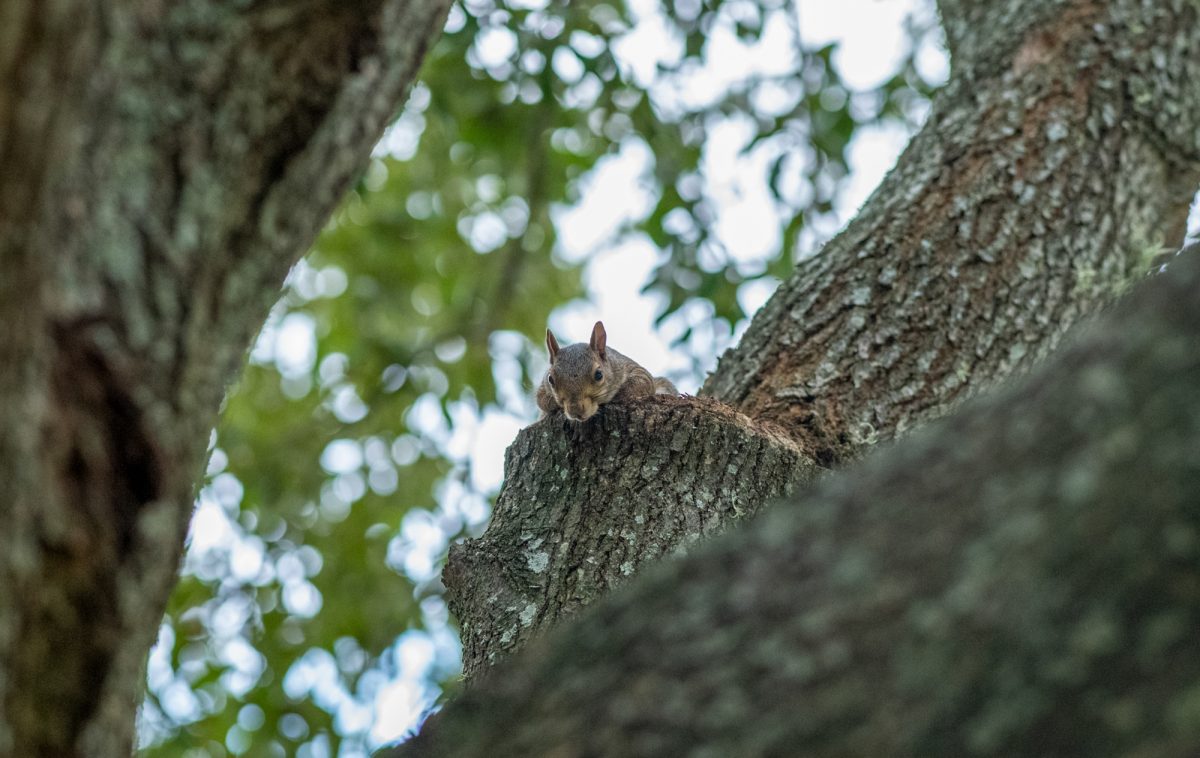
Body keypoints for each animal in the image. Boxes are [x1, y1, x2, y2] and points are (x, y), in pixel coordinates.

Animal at [535, 319, 676, 419]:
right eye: (550, 379)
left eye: (599, 375)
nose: (575, 410)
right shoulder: (543, 386)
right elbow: (540, 399)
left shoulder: (631, 367)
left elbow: (643, 381)